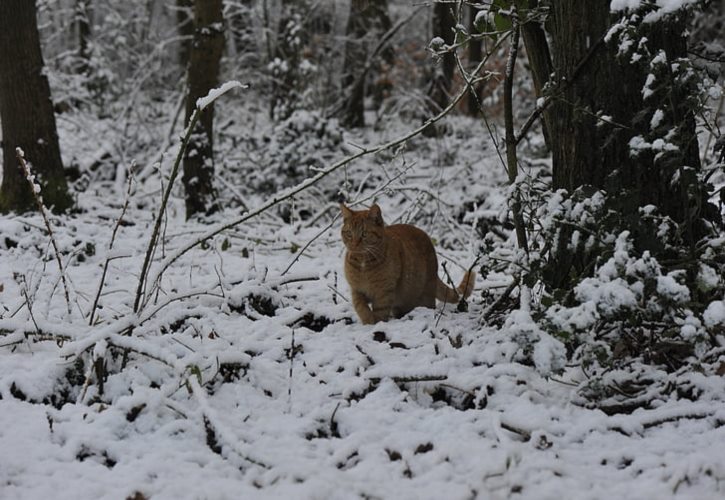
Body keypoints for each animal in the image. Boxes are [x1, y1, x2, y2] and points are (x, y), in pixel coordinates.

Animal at [340, 203, 476, 324]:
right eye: (349, 233)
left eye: (364, 234)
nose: (354, 244)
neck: (363, 262)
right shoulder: (356, 290)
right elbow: (360, 306)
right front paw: (368, 320)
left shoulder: (384, 292)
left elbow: (380, 312)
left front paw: (376, 323)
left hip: (424, 295)